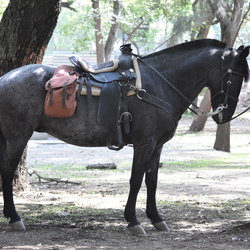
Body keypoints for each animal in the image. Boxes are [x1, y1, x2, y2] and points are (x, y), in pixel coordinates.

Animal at [0, 38, 249, 234]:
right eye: (237, 77)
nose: (225, 114)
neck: (158, 83)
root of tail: (4, 79)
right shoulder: (145, 143)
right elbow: (136, 180)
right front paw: (133, 220)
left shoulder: (157, 145)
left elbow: (151, 181)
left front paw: (156, 218)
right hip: (17, 137)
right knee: (8, 172)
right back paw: (14, 218)